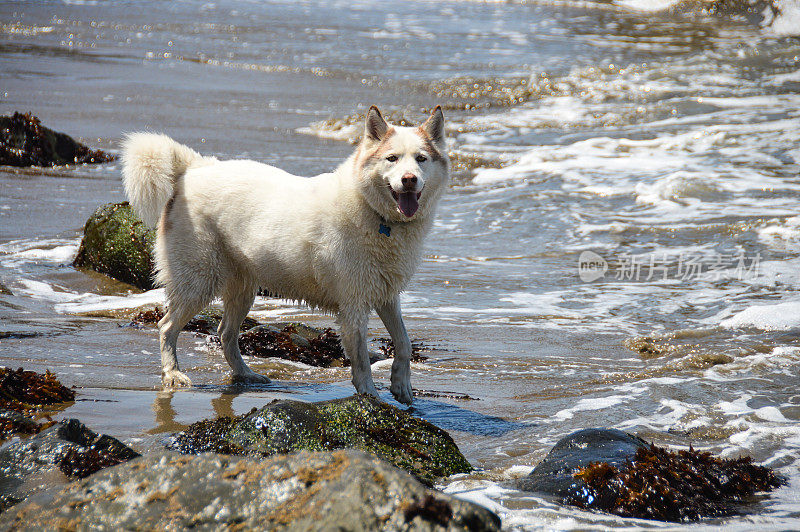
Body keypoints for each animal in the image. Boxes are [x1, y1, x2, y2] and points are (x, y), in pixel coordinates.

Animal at [121, 106, 446, 404]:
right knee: (167, 327)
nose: (409, 180)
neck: (377, 214)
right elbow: (362, 359)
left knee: (225, 333)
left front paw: (402, 387)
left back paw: (246, 375)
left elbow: (403, 342)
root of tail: (193, 169)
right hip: (198, 281)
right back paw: (173, 374)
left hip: (243, 288)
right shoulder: (353, 304)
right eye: (392, 158)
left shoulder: (386, 294)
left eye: (421, 159)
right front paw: (370, 396)